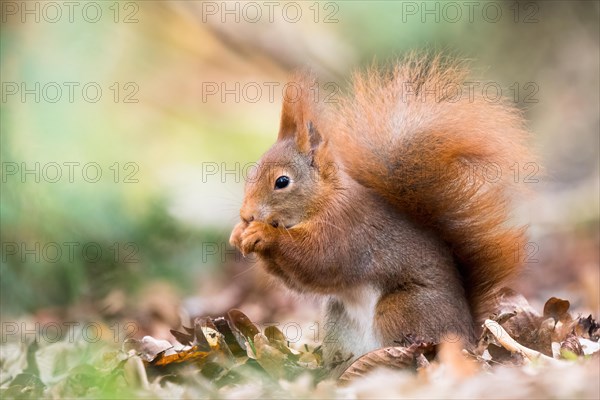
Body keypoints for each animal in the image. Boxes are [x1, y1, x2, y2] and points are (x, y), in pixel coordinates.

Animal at [230, 53, 536, 376]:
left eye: (282, 181)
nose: (247, 214)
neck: (324, 200)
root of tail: (469, 335)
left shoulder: (347, 228)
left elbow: (318, 260)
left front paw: (263, 234)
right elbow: (301, 280)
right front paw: (239, 234)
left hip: (403, 309)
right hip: (338, 317)